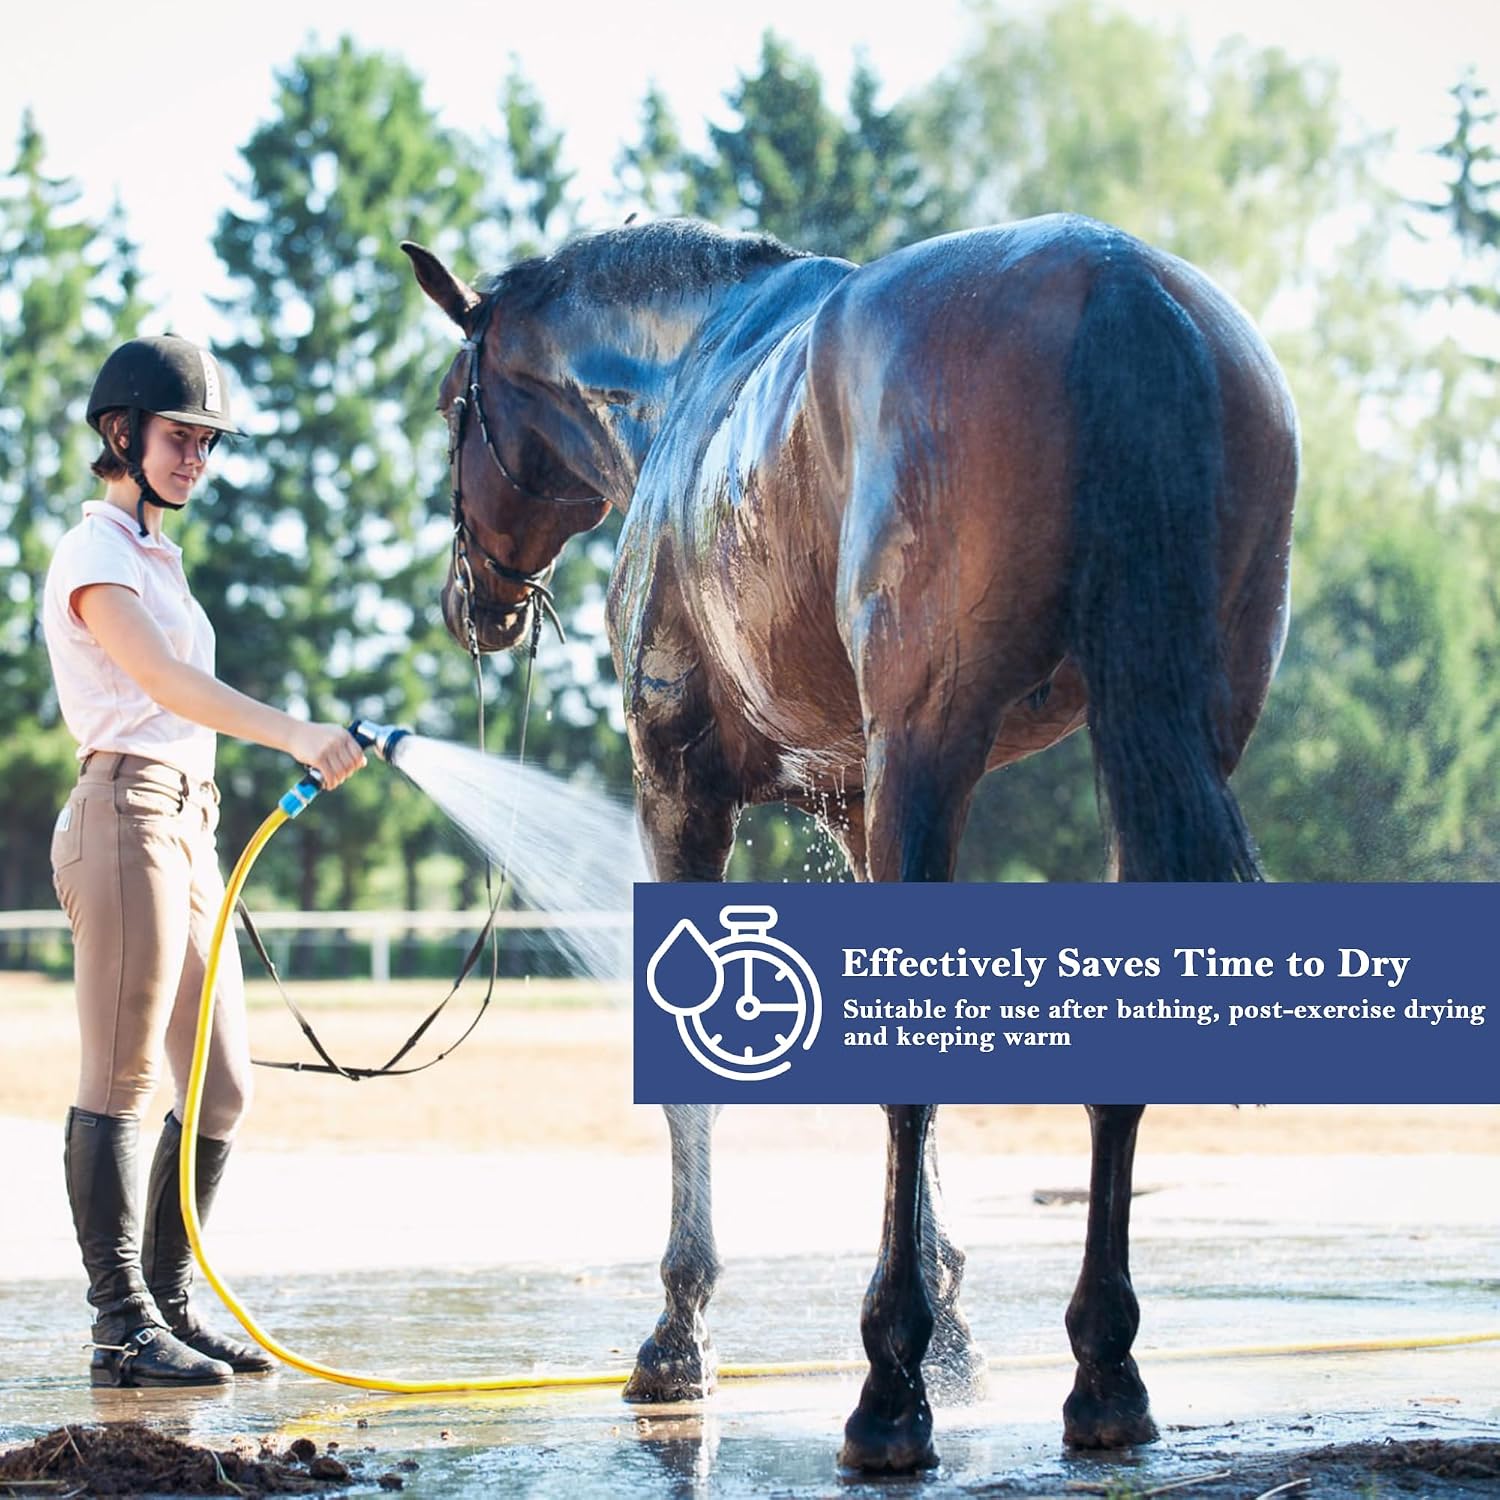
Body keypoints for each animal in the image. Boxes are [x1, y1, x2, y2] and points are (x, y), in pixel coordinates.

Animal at [402, 214, 1297, 1474]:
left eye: (451, 405)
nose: (470, 601)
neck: (685, 374)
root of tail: (1114, 273)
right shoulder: (863, 804)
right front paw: (959, 1332)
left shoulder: (681, 786)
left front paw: (682, 1335)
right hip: (1166, 741)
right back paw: (1101, 1372)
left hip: (935, 739)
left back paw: (888, 1393)